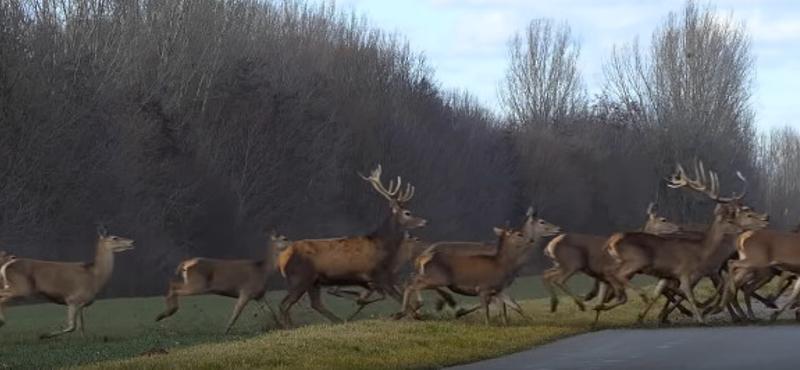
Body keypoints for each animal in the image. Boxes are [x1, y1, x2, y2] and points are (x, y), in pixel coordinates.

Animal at [0, 224, 133, 340]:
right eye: (115, 238)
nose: (132, 242)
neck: (95, 277)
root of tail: (6, 266)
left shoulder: (81, 303)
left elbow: (81, 326)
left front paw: (86, 340)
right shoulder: (73, 299)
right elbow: (72, 327)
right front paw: (43, 335)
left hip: (13, 286)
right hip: (22, 287)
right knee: (2, 297)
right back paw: (2, 321)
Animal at [155, 233, 292, 330]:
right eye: (284, 238)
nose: (292, 243)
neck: (262, 270)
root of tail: (186, 263)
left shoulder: (258, 295)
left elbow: (271, 313)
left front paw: (282, 326)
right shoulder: (246, 291)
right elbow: (236, 313)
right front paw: (225, 331)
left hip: (193, 283)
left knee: (173, 284)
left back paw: (164, 314)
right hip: (198, 284)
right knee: (173, 286)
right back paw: (164, 314)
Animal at [276, 165, 428, 326]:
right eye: (407, 213)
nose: (424, 222)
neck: (383, 246)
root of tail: (283, 259)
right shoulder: (377, 274)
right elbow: (396, 296)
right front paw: (408, 314)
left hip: (313, 282)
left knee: (314, 304)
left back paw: (337, 321)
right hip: (301, 278)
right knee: (286, 304)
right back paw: (289, 326)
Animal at [396, 212, 560, 326]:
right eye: (542, 221)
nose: (558, 228)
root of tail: (421, 257)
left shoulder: (500, 288)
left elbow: (512, 305)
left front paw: (518, 322)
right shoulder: (486, 287)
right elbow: (491, 306)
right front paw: (492, 323)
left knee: (411, 281)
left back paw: (415, 312)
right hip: (437, 278)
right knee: (411, 284)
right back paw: (407, 311)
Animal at [596, 162, 764, 324]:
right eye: (732, 219)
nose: (765, 218)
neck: (704, 251)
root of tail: (611, 241)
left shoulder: (702, 272)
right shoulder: (690, 273)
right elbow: (692, 292)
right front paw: (704, 314)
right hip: (634, 264)